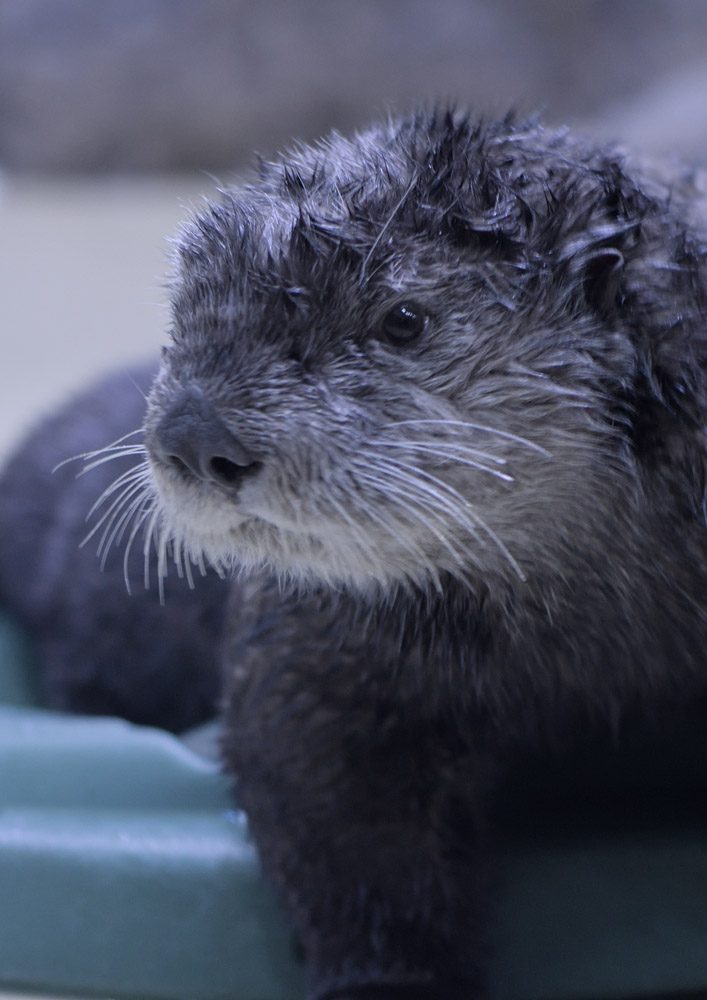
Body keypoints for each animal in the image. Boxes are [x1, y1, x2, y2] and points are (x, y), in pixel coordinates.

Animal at [2, 108, 707, 998]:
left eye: (402, 320)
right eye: (182, 314)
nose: (197, 434)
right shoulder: (314, 637)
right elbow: (327, 791)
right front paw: (389, 979)